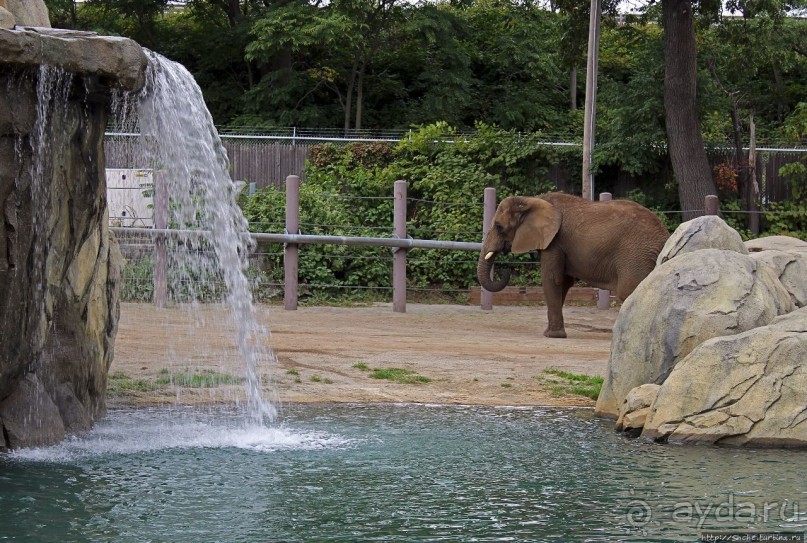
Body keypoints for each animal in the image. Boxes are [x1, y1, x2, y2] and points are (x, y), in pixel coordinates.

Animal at [480, 191, 668, 336]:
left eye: (499, 227)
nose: (505, 270)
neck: (532, 199)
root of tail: (664, 235)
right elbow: (563, 282)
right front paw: (551, 333)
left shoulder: (555, 241)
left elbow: (552, 278)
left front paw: (552, 335)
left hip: (636, 255)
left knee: (628, 290)